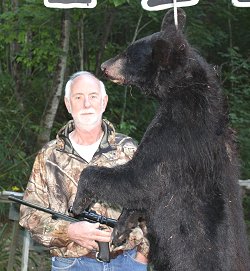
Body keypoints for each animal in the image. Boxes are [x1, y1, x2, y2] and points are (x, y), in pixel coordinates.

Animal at [72, 8, 250, 271]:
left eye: (129, 54)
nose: (103, 66)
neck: (185, 88)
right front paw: (122, 228)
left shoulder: (176, 133)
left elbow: (141, 180)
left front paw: (79, 201)